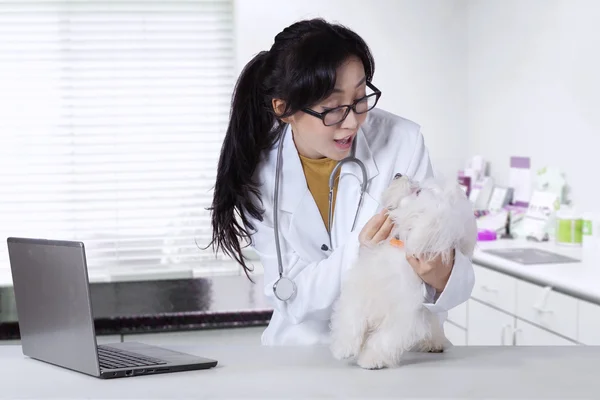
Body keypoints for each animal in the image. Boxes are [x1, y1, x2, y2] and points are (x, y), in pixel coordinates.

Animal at [330, 174, 476, 368]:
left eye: (418, 191)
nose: (399, 175)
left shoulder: (404, 313)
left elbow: (385, 338)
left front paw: (372, 359)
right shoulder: (360, 290)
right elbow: (351, 316)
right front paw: (344, 347)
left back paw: (433, 343)